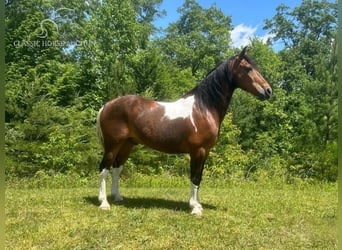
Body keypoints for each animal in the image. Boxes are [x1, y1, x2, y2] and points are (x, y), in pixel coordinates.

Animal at [96, 46, 272, 215]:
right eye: (248, 68)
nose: (268, 91)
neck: (203, 108)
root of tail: (107, 105)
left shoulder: (205, 151)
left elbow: (199, 177)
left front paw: (198, 204)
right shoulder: (198, 151)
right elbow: (194, 177)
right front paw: (195, 208)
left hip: (127, 144)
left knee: (116, 169)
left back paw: (117, 197)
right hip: (113, 145)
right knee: (104, 169)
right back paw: (104, 203)